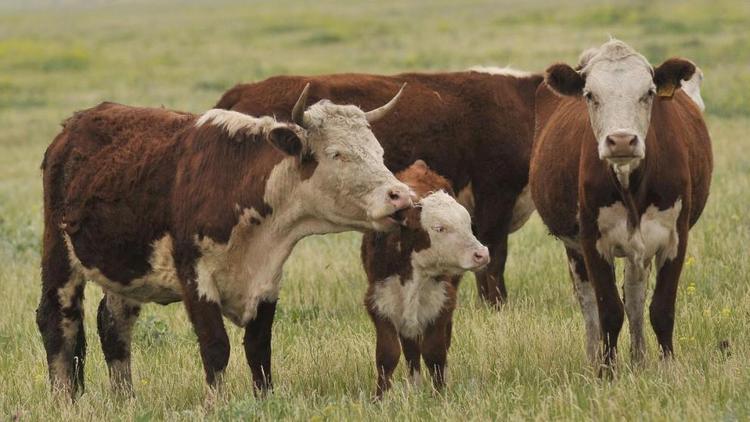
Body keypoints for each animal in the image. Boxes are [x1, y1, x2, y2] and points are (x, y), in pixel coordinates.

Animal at [36, 85, 412, 398]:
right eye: (337, 154)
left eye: (378, 151)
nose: (400, 196)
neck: (236, 180)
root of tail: (72, 127)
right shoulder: (195, 278)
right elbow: (216, 348)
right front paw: (217, 404)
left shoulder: (267, 278)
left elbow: (259, 350)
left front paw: (264, 401)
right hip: (59, 254)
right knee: (58, 321)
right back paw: (65, 400)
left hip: (125, 268)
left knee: (114, 326)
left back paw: (125, 400)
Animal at [362, 160, 490, 398]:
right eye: (439, 228)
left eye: (468, 224)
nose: (482, 254)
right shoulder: (379, 302)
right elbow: (388, 354)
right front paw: (380, 398)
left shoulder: (442, 303)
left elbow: (435, 352)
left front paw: (440, 394)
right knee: (411, 349)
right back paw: (414, 387)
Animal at [532, 38, 712, 370]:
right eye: (590, 95)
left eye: (648, 93)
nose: (622, 141)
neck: (631, 184)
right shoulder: (592, 241)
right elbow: (608, 310)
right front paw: (607, 371)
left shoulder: (674, 238)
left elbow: (661, 309)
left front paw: (668, 368)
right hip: (575, 249)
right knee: (589, 302)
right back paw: (594, 359)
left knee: (635, 296)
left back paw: (639, 358)